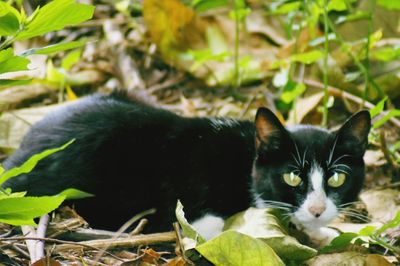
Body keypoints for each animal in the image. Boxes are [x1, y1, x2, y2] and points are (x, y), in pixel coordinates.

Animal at [2, 92, 372, 245]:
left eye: (337, 177)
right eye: (292, 176)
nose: (318, 209)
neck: (245, 162)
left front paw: (322, 231)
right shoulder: (189, 209)